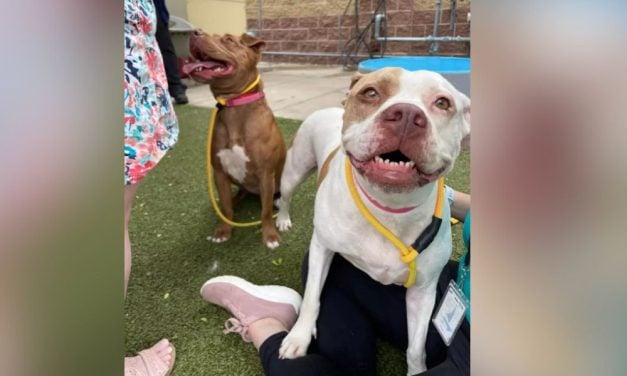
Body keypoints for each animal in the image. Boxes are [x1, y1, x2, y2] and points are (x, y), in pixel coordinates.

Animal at [183, 32, 286, 248]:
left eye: (228, 39)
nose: (195, 32)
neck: (233, 105)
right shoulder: (220, 173)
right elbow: (226, 209)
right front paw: (223, 230)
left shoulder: (266, 174)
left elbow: (265, 212)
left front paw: (269, 236)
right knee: (235, 197)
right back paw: (234, 199)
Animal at [276, 67, 472, 374]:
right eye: (370, 93)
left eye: (443, 103)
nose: (406, 115)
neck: (388, 208)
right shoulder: (322, 247)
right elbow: (310, 299)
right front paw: (298, 338)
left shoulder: (423, 291)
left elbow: (416, 347)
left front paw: (417, 370)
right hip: (294, 169)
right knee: (284, 197)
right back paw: (282, 219)